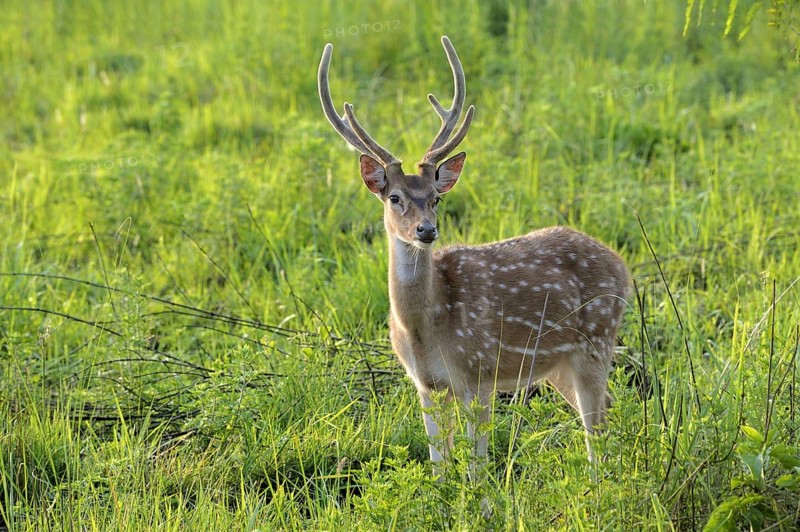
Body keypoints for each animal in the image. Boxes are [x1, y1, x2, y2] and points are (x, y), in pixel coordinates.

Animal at [318, 36, 631, 473]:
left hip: (597, 340)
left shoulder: (480, 372)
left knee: (595, 429)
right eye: (394, 197)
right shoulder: (427, 386)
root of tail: (623, 266)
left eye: (436, 198)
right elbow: (439, 466)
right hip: (558, 365)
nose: (426, 230)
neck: (425, 330)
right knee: (610, 408)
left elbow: (476, 469)